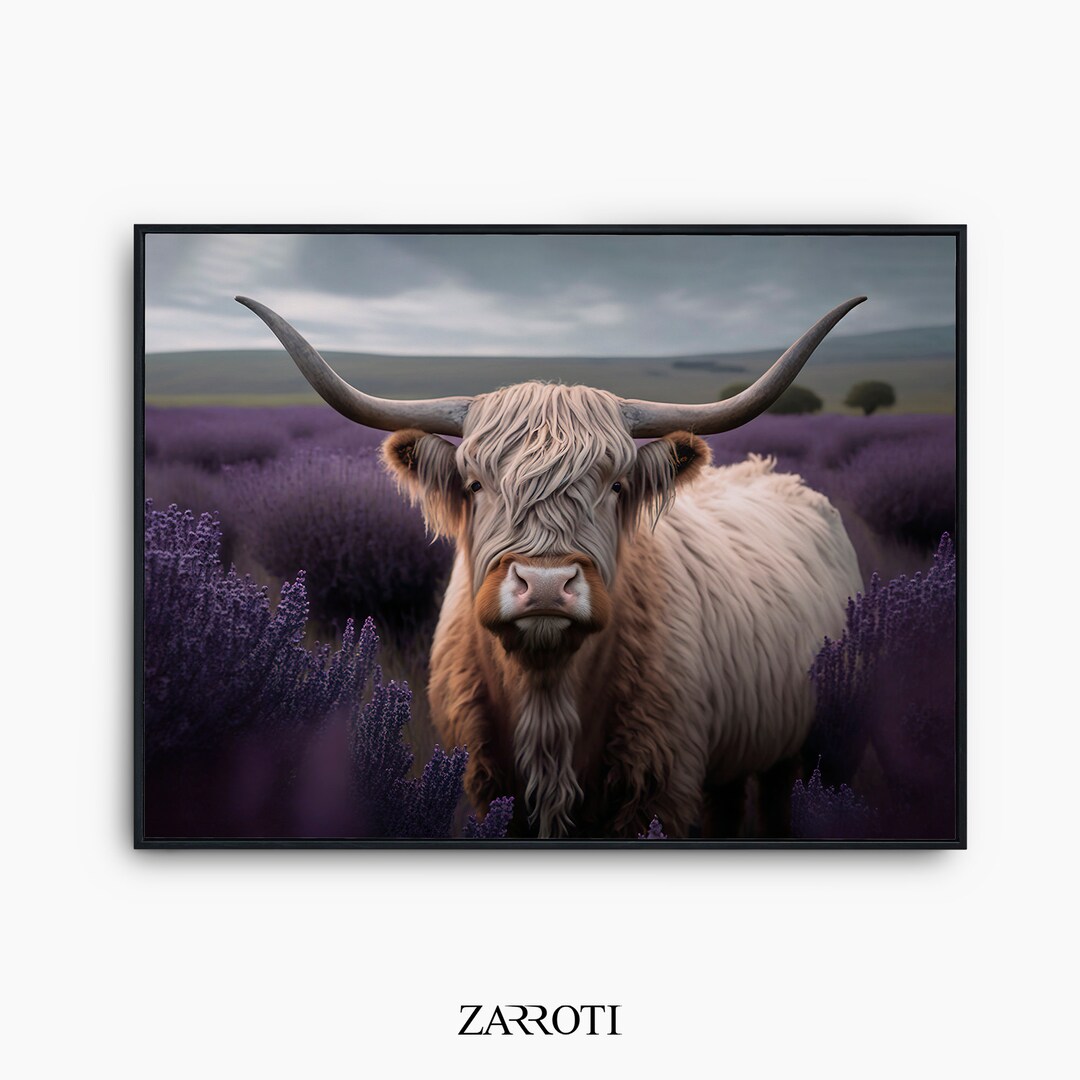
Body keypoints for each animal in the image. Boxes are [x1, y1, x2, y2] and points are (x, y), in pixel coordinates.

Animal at [237, 294, 866, 839]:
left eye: (616, 486)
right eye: (474, 484)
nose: (544, 585)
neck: (547, 697)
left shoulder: (660, 786)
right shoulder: (483, 783)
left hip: (806, 744)